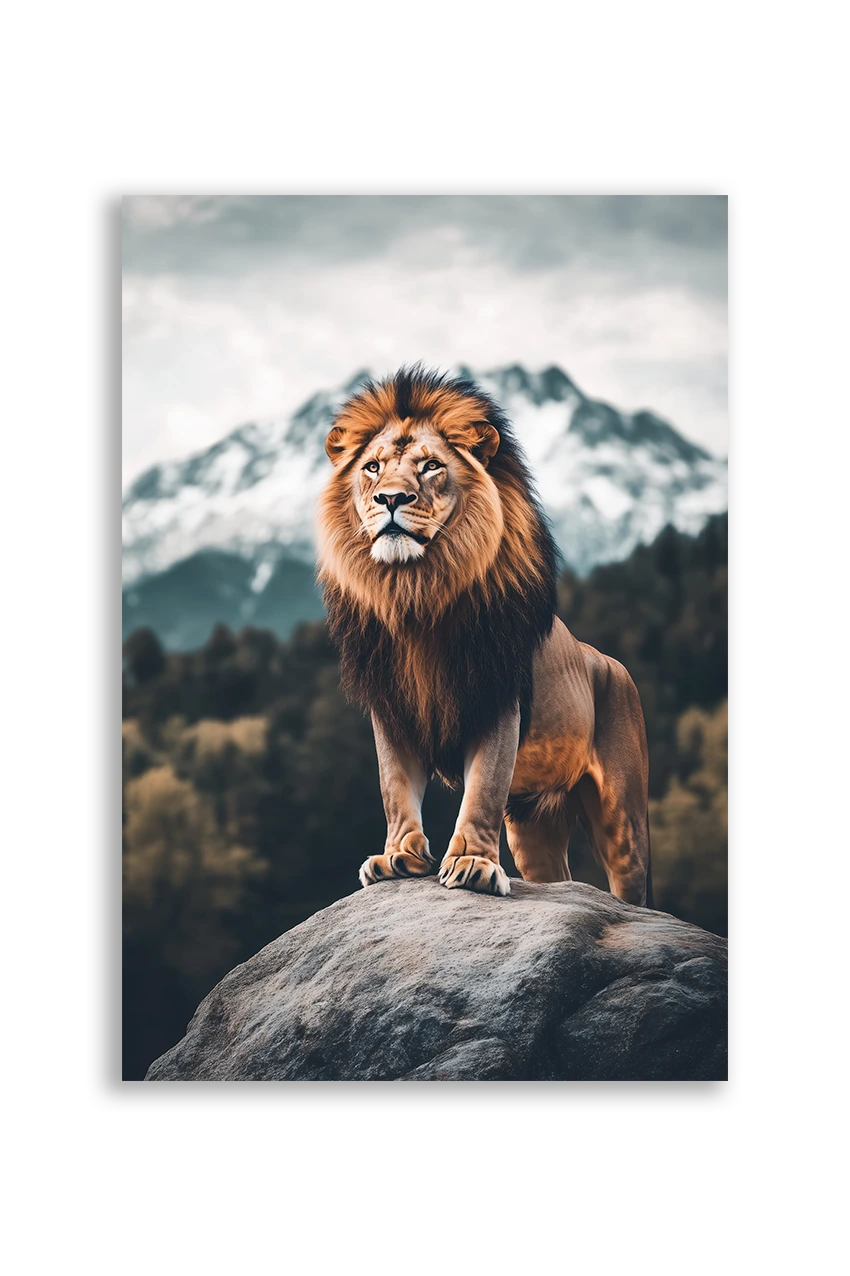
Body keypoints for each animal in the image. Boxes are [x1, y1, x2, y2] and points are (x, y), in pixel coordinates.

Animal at [317, 366, 652, 905]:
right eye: (372, 468)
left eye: (431, 466)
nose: (390, 499)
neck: (415, 595)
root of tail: (606, 661)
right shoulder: (391, 707)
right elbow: (395, 788)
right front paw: (398, 857)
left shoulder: (496, 699)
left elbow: (483, 791)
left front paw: (472, 864)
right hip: (535, 824)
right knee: (555, 874)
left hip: (624, 819)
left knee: (632, 888)